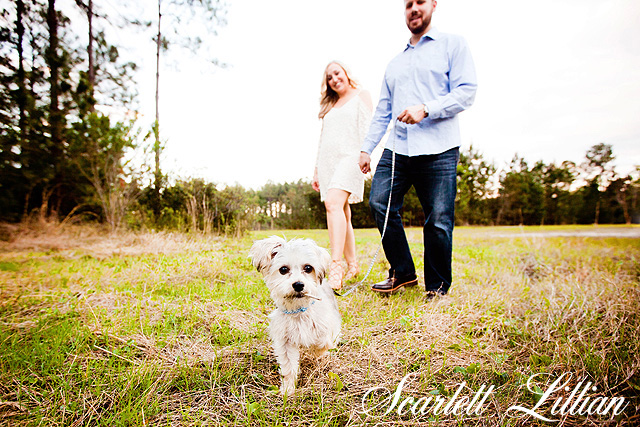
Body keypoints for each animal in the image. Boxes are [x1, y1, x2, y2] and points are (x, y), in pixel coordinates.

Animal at [249, 236, 342, 396]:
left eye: (308, 268)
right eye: (283, 269)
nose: (298, 284)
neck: (298, 311)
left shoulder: (329, 329)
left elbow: (322, 343)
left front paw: (316, 351)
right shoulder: (285, 342)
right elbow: (288, 367)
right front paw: (288, 388)